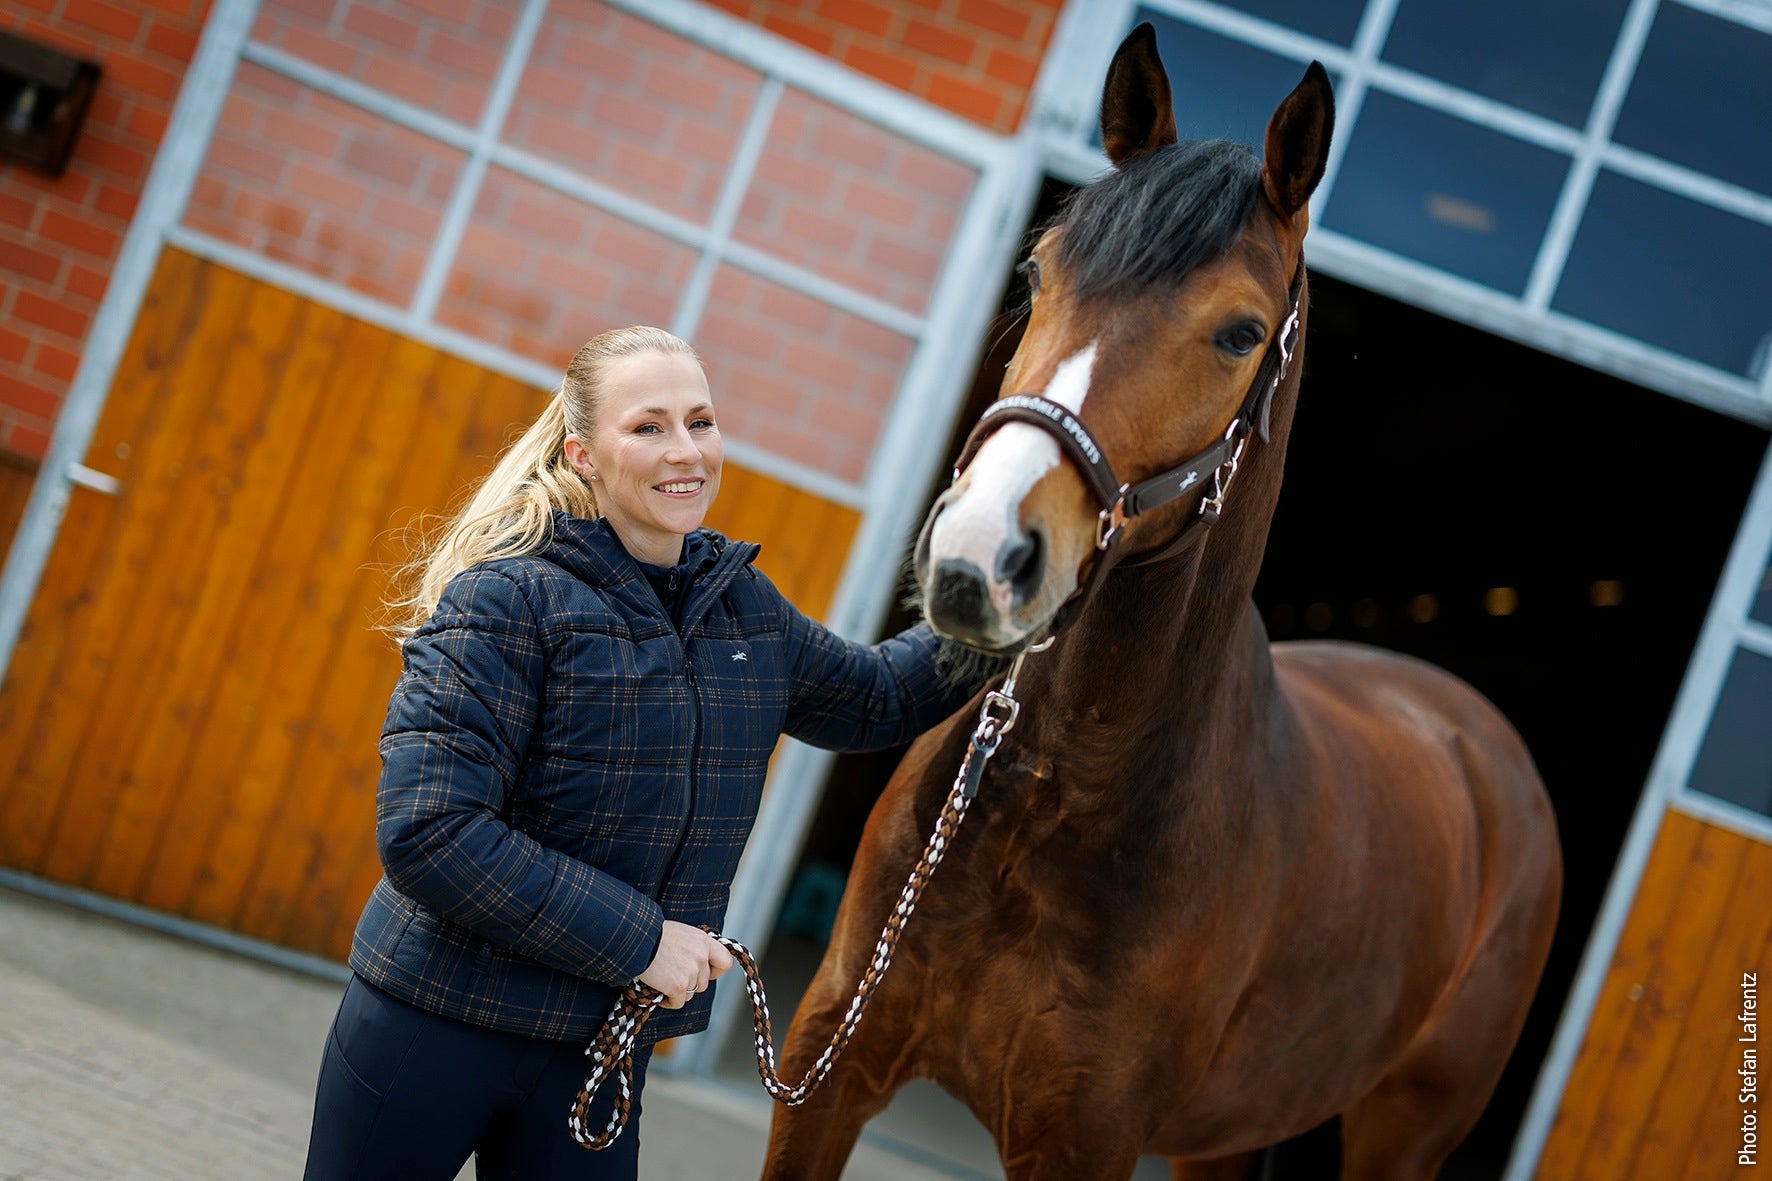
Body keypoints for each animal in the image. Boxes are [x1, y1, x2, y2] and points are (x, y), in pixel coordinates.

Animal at [758, 24, 1561, 1181]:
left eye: (1239, 334)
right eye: (1037, 271)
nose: (976, 554)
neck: (1047, 802)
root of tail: (1478, 736)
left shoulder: (1084, 1140)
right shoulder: (828, 1064)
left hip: (1404, 1129)